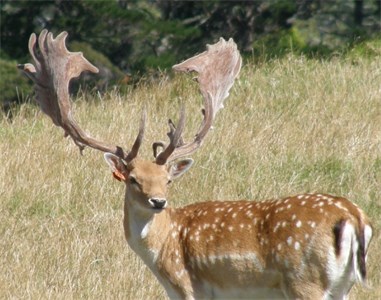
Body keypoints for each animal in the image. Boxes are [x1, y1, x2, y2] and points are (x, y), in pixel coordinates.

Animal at [18, 29, 372, 300]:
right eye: (133, 178)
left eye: (168, 180)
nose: (158, 201)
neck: (163, 250)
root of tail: (353, 216)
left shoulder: (188, 286)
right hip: (342, 285)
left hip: (304, 280)